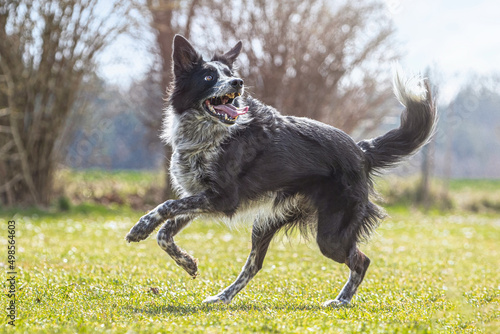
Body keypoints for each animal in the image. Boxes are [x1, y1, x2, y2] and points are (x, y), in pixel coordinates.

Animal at [126, 35, 438, 306]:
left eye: (229, 73)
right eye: (208, 77)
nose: (238, 82)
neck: (209, 134)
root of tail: (361, 150)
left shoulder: (222, 198)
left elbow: (165, 206)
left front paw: (140, 228)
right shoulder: (199, 195)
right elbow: (165, 232)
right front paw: (187, 262)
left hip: (331, 236)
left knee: (361, 260)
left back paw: (342, 300)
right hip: (266, 222)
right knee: (254, 265)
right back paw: (222, 297)